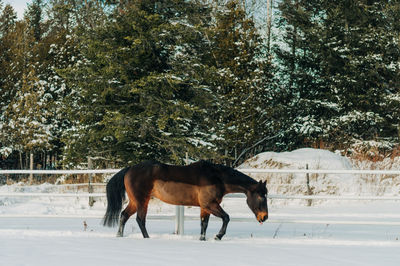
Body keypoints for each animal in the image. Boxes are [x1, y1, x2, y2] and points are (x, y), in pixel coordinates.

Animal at [102, 160, 268, 241]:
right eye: (261, 196)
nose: (264, 217)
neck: (217, 178)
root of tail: (129, 169)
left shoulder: (205, 207)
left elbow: (204, 224)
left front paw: (202, 239)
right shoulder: (210, 204)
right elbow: (226, 217)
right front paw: (218, 236)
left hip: (135, 202)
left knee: (124, 215)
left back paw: (119, 235)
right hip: (142, 201)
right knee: (140, 220)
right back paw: (147, 238)